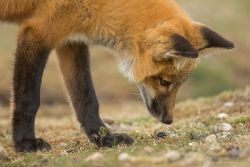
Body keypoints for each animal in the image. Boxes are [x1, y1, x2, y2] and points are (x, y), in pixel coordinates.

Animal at [0, 0, 233, 152]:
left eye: (179, 84)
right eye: (164, 81)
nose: (168, 120)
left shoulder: (71, 40)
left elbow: (86, 97)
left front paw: (104, 139)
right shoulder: (37, 33)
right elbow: (28, 99)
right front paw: (25, 143)